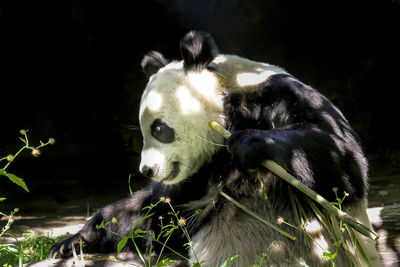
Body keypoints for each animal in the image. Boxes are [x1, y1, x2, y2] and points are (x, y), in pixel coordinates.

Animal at [50, 30, 382, 266]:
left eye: (158, 129)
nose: (147, 169)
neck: (227, 98)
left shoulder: (277, 96)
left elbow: (342, 160)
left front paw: (250, 143)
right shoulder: (195, 179)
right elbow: (154, 214)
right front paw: (75, 239)